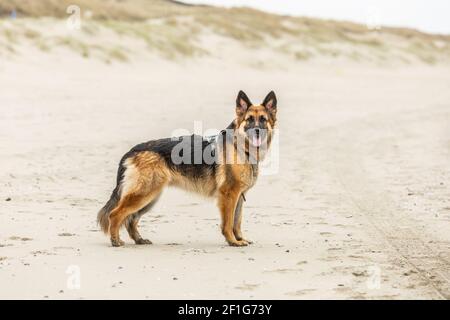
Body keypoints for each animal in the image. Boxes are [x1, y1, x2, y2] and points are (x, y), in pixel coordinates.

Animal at [96, 90, 276, 248]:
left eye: (263, 119)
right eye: (249, 120)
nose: (257, 131)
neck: (240, 147)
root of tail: (133, 150)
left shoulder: (238, 196)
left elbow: (236, 221)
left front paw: (239, 239)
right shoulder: (229, 195)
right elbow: (228, 223)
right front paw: (232, 241)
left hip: (150, 197)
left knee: (131, 219)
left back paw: (139, 240)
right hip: (144, 194)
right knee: (116, 214)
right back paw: (115, 241)